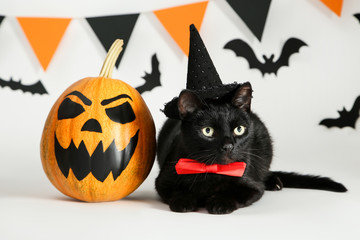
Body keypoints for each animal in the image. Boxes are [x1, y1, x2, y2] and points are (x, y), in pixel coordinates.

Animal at [156, 82, 348, 214]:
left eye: (239, 129)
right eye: (208, 131)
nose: (228, 146)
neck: (213, 172)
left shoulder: (253, 186)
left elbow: (237, 192)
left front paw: (220, 202)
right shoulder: (163, 181)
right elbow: (177, 190)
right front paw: (184, 201)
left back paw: (274, 182)